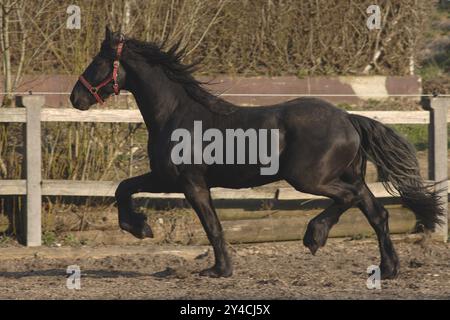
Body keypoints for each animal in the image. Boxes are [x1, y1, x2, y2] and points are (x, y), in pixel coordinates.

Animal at [70, 29, 442, 280]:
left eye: (98, 61)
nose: (76, 97)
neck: (176, 114)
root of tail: (348, 118)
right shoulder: (167, 179)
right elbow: (125, 188)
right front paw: (140, 228)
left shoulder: (187, 182)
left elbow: (211, 224)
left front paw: (218, 269)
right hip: (349, 176)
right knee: (376, 213)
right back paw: (388, 268)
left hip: (309, 179)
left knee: (348, 200)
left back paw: (314, 236)